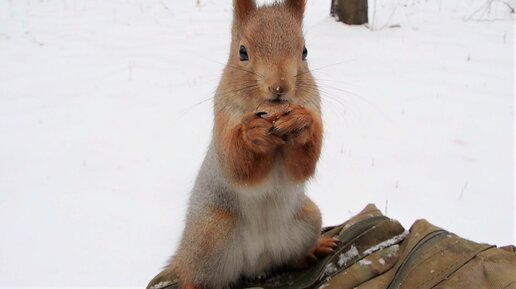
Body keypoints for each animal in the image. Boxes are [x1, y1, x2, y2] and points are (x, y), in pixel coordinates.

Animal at [165, 0, 334, 288]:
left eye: (305, 51)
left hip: (308, 218)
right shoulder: (223, 118)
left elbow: (301, 167)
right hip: (210, 236)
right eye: (242, 52)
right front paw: (252, 132)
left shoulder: (314, 106)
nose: (279, 87)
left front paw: (301, 122)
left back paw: (313, 250)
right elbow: (238, 167)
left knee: (289, 258)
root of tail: (256, 261)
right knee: (192, 274)